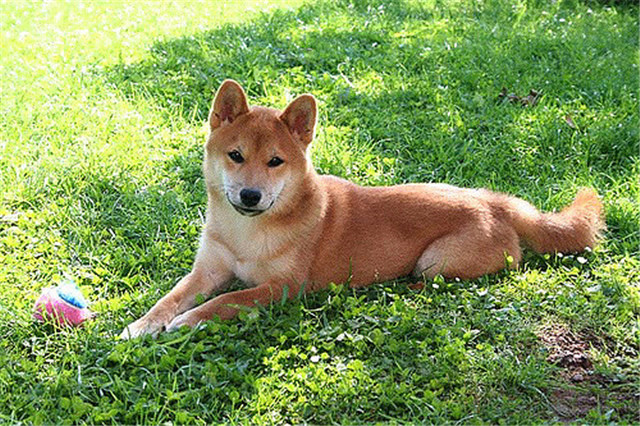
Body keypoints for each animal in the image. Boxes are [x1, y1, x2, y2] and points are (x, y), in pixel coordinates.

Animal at [121, 79, 604, 339]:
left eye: (275, 161)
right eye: (235, 156)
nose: (250, 196)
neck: (246, 233)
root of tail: (492, 199)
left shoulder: (282, 287)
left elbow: (229, 299)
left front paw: (189, 321)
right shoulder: (207, 270)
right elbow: (170, 297)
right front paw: (142, 325)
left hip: (436, 260)